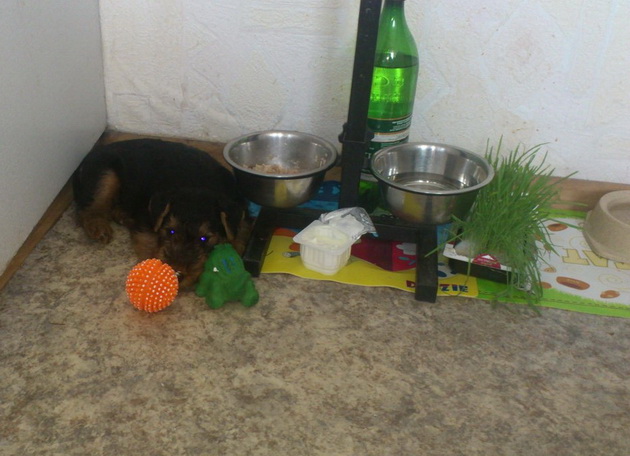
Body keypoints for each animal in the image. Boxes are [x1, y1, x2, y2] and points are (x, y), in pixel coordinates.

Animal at [72, 138, 249, 287]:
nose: (178, 274)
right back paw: (99, 228)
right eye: (170, 231)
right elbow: (149, 242)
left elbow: (238, 240)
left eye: (204, 238)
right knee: (88, 210)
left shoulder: (240, 217)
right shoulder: (147, 219)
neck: (196, 184)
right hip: (106, 176)